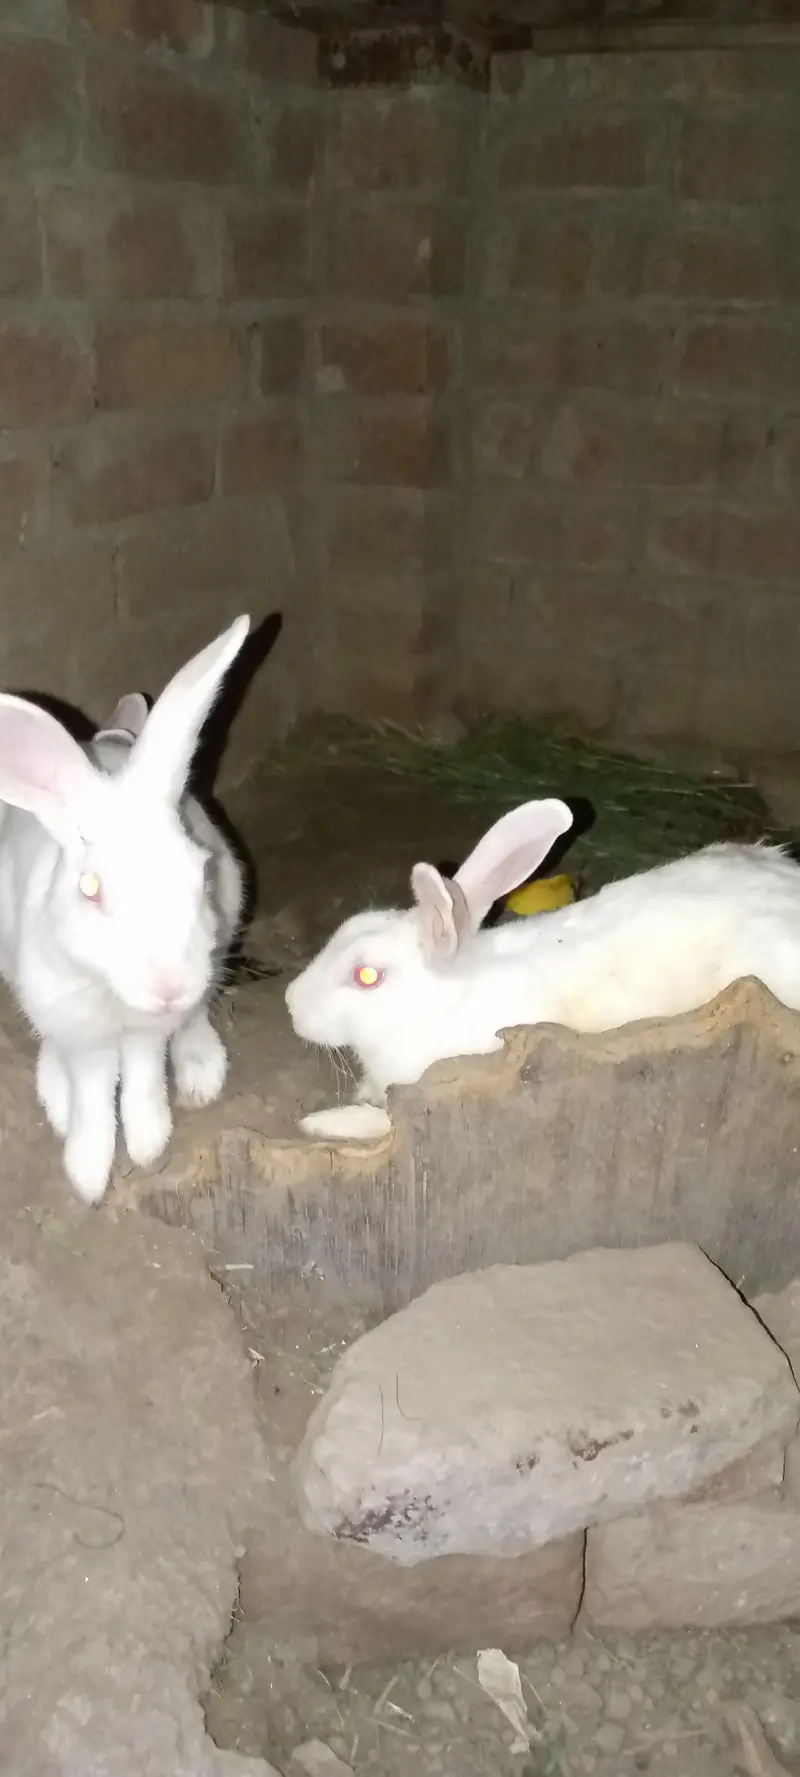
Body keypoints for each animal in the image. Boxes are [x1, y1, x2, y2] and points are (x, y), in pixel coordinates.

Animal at [0, 614, 250, 1204]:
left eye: (199, 872)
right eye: (91, 889)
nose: (170, 985)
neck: (111, 995)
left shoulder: (147, 1034)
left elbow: (140, 1081)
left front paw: (147, 1147)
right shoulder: (80, 1035)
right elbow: (93, 1095)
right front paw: (89, 1176)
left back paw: (201, 1071)